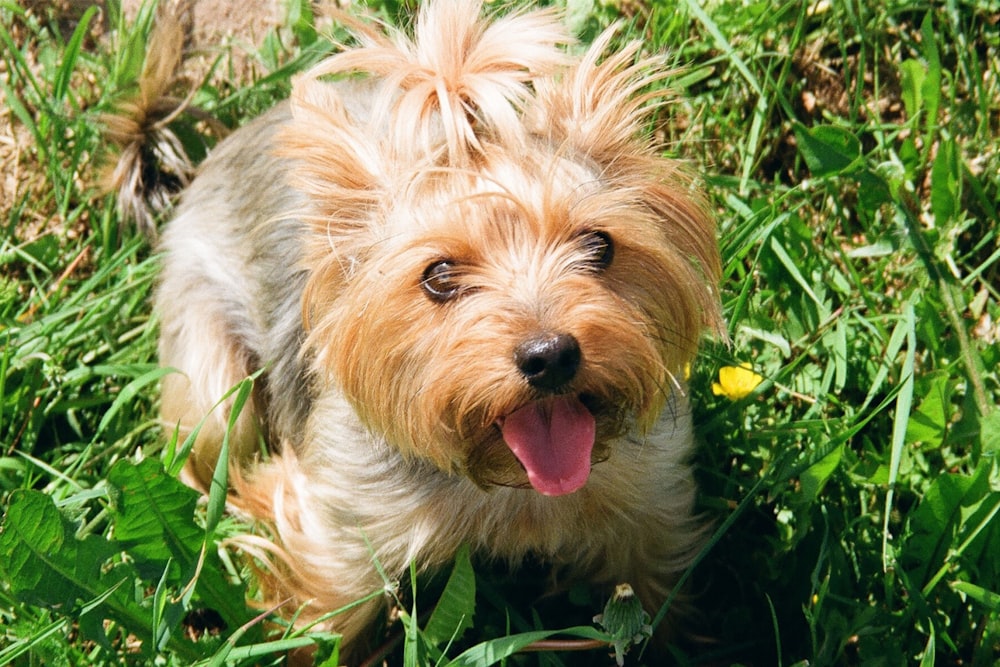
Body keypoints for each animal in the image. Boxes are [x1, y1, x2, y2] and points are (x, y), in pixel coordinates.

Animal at [107, 0, 720, 656]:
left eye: (598, 245)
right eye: (439, 275)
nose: (550, 354)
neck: (507, 481)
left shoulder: (649, 502)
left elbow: (655, 598)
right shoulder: (340, 528)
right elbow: (323, 619)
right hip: (211, 377)